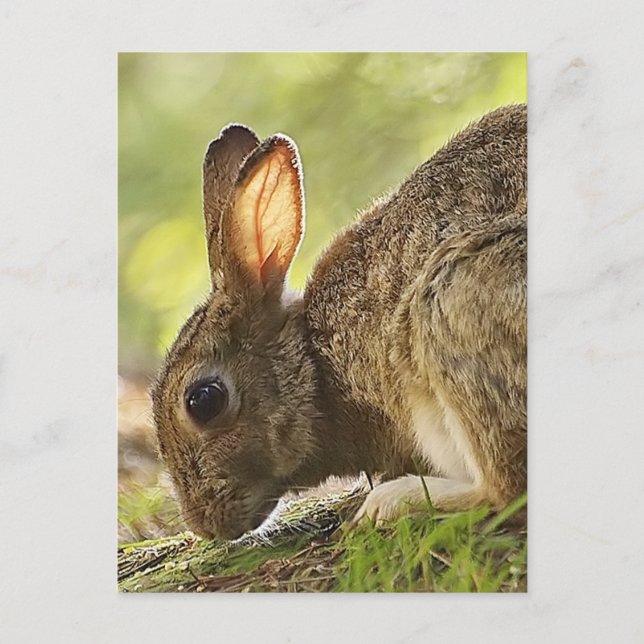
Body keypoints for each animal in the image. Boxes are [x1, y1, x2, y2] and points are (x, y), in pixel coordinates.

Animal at [151, 104, 527, 540]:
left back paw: (392, 502)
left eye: (205, 400)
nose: (204, 524)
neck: (315, 363)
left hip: (451, 298)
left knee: (506, 492)